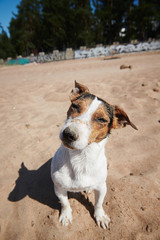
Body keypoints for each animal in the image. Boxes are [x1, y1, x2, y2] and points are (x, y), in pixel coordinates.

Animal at [50, 81, 137, 229]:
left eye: (101, 119)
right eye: (75, 106)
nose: (68, 134)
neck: (80, 157)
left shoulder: (102, 188)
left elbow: (98, 204)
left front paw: (100, 216)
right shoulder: (59, 188)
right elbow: (65, 203)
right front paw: (66, 215)